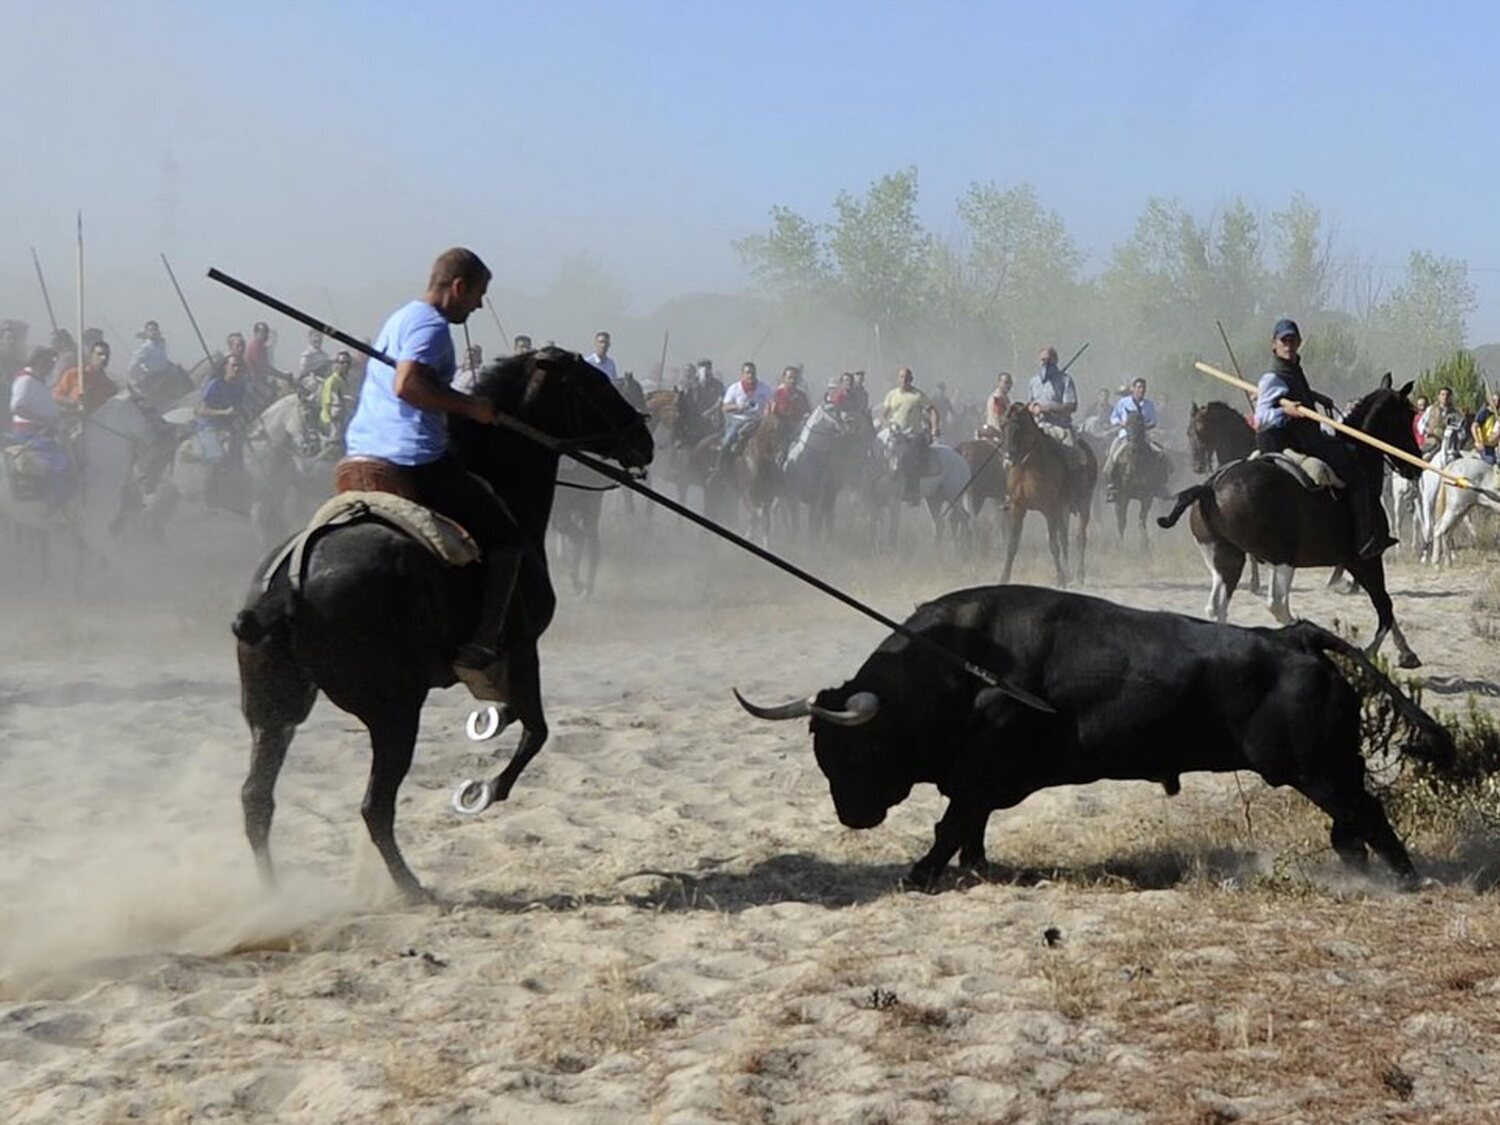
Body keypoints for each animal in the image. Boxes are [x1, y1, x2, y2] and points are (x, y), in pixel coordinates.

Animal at [232, 348, 651, 906]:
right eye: (596, 384)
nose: (644, 438)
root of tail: (286, 589)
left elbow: (517, 716)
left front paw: (493, 720)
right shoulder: (522, 648)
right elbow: (537, 730)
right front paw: (487, 790)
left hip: (274, 710)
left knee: (257, 798)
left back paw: (275, 897)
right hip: (393, 711)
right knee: (374, 805)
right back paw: (412, 889)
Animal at [738, 591, 1452, 888]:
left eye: (855, 750)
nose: (850, 816)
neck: (959, 666)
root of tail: (1292, 636)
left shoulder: (979, 773)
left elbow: (951, 824)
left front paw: (920, 874)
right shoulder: (980, 783)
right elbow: (970, 826)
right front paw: (974, 865)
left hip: (1321, 769)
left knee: (1368, 815)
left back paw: (1403, 880)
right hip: (1327, 769)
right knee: (1353, 822)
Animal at [1002, 405, 1098, 585]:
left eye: (1017, 425)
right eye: (1003, 425)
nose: (1009, 455)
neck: (1028, 466)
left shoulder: (1049, 508)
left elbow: (1053, 545)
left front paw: (1060, 580)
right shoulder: (1018, 507)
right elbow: (1012, 544)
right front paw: (1003, 577)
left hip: (1084, 503)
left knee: (1080, 537)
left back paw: (1079, 575)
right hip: (1063, 508)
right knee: (1065, 537)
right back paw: (1068, 573)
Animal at [1152, 372, 1422, 669]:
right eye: (1407, 417)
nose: (1417, 464)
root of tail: (1209, 487)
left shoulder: (1356, 561)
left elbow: (1385, 606)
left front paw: (1406, 651)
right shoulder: (1366, 559)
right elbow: (1385, 607)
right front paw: (1377, 653)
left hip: (1227, 558)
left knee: (1218, 607)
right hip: (1282, 559)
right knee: (1278, 605)